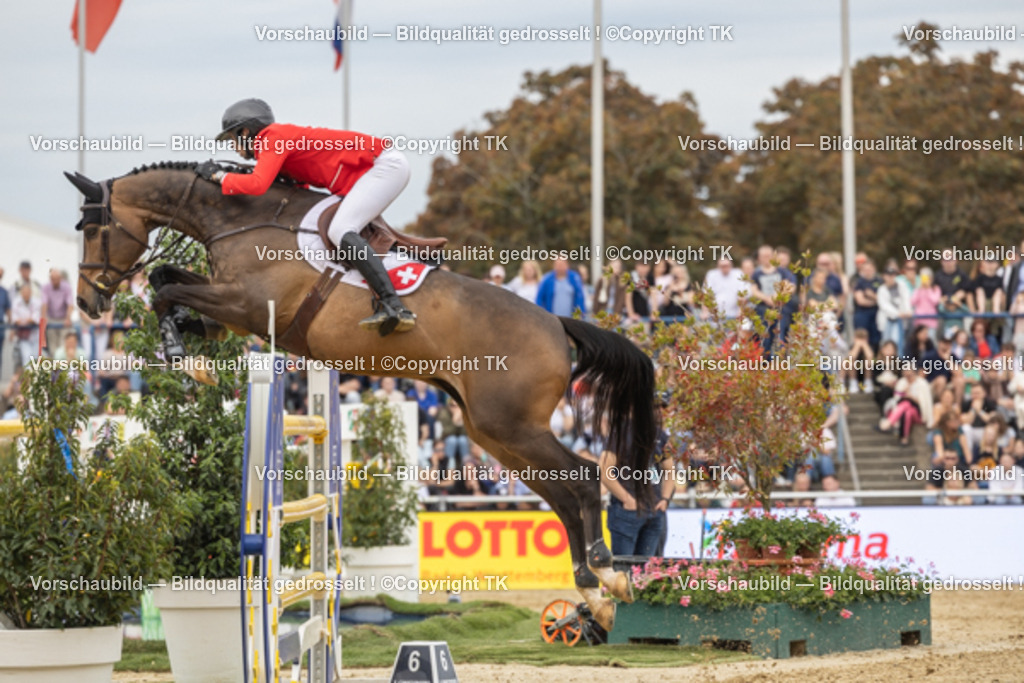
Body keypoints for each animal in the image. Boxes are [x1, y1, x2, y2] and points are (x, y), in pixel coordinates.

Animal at [66, 161, 657, 630]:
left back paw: (607, 577)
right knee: (563, 493)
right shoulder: (233, 315)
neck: (236, 219)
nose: (87, 302)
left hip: (513, 426)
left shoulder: (245, 304)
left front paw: (182, 357)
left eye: (92, 228)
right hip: (493, 432)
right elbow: (168, 286)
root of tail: (557, 324)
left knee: (582, 480)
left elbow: (164, 287)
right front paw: (185, 352)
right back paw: (593, 593)